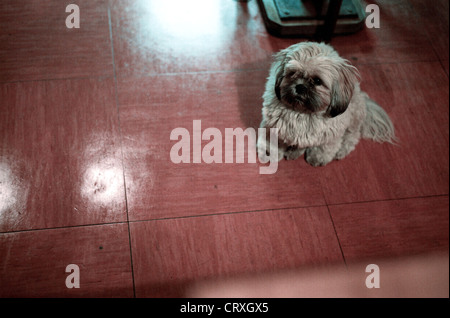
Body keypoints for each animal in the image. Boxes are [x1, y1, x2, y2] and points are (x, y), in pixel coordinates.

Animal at [258, 41, 396, 168]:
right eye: (292, 73)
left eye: (317, 81)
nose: (300, 86)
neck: (303, 112)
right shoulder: (273, 126)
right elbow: (272, 140)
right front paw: (269, 152)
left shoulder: (331, 134)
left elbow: (323, 147)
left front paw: (318, 157)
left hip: (353, 118)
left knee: (352, 136)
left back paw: (341, 150)